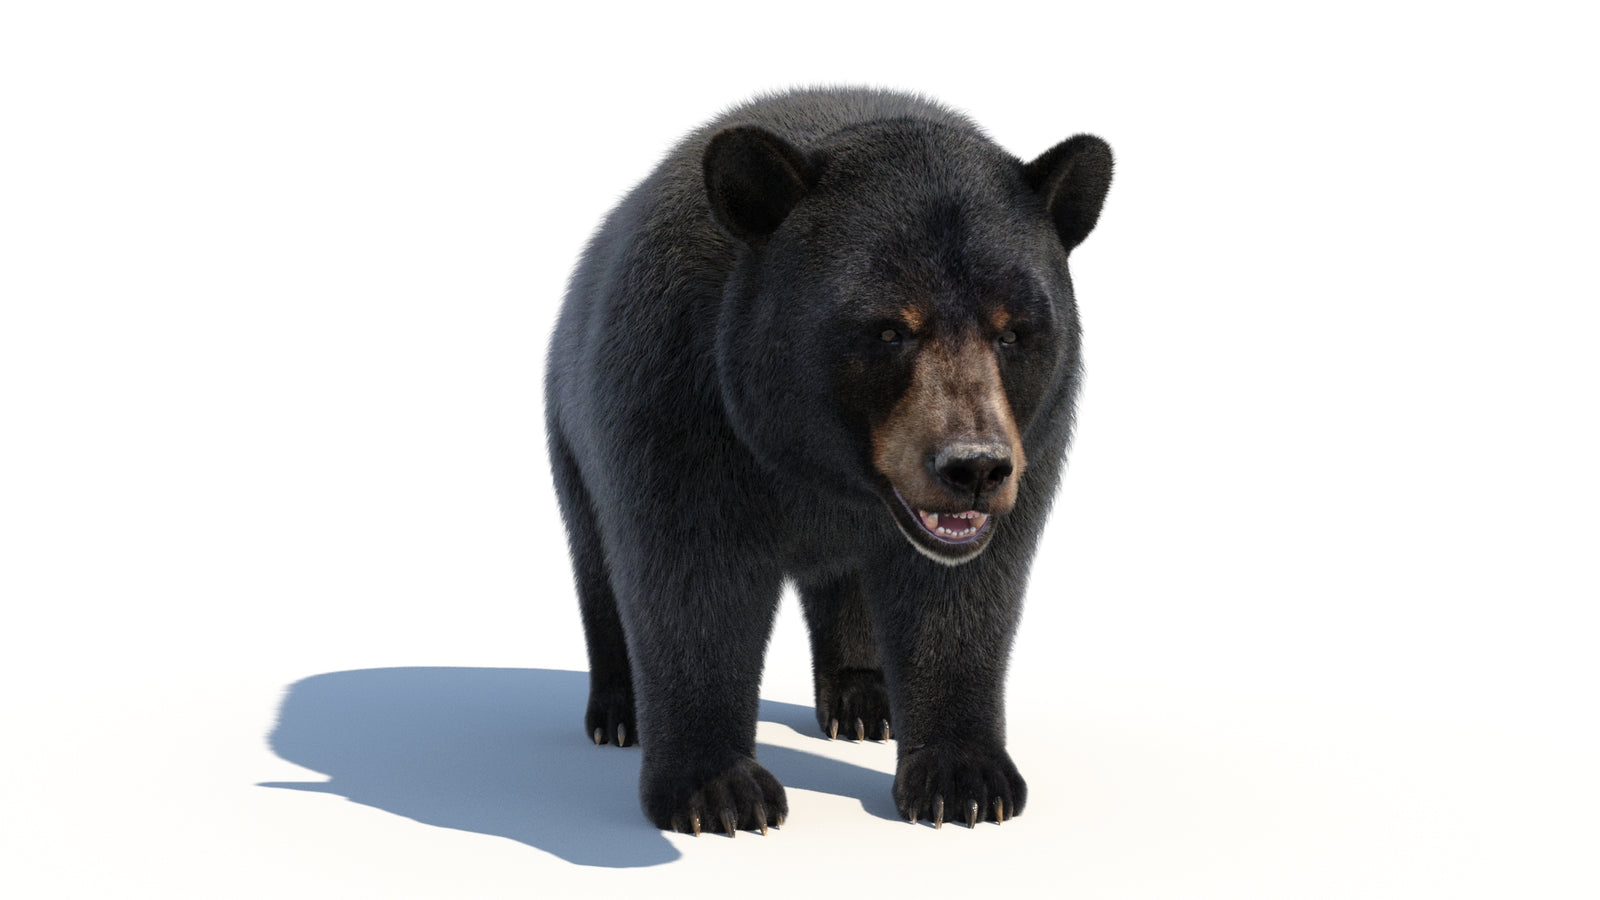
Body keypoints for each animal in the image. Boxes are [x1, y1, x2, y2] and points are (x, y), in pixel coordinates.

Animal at [544, 87, 1112, 835]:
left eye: (1013, 331)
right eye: (890, 329)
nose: (974, 468)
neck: (820, 468)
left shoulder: (1033, 446)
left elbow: (963, 595)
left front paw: (965, 778)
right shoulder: (680, 408)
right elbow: (691, 582)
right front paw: (717, 791)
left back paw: (863, 699)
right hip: (570, 430)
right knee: (595, 560)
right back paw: (618, 712)